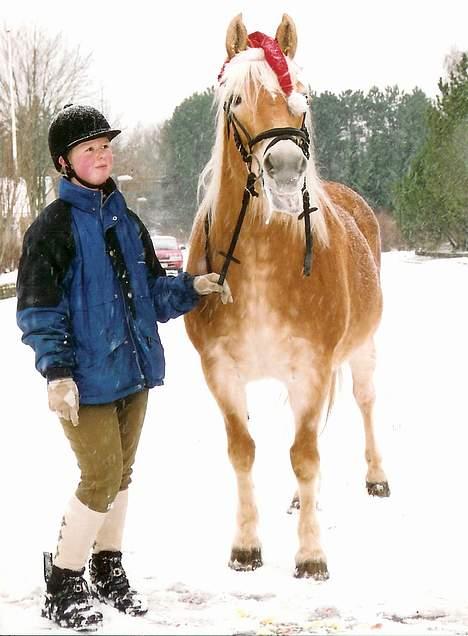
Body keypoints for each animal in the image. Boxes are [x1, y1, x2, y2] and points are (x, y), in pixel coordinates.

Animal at [185, 12, 390, 580]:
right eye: (236, 99)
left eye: (302, 95)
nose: (284, 169)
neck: (261, 261)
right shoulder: (221, 371)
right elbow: (244, 451)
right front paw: (246, 547)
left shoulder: (312, 367)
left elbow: (304, 456)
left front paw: (311, 556)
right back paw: (303, 501)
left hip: (362, 350)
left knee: (362, 404)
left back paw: (375, 476)